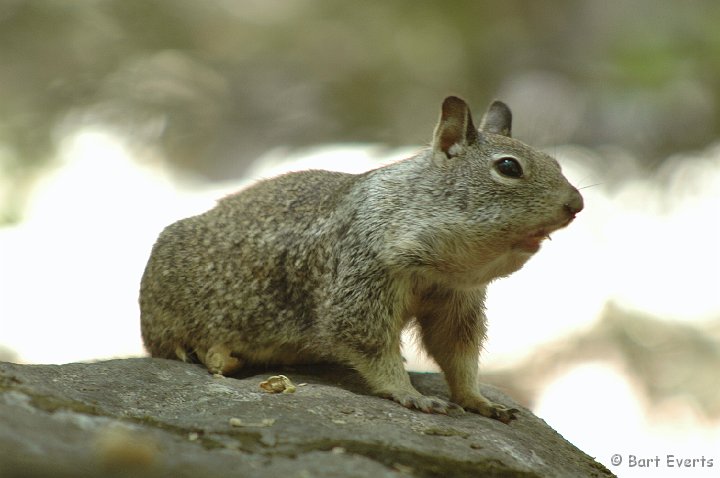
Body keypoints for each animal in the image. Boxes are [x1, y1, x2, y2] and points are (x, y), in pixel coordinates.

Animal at [141, 96, 584, 422]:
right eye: (508, 167)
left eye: (557, 163)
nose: (576, 204)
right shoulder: (360, 289)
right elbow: (374, 350)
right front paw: (412, 395)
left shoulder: (456, 303)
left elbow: (458, 356)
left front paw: (479, 400)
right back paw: (214, 354)